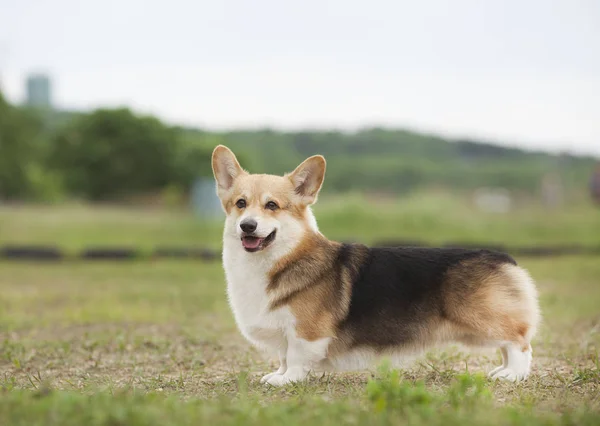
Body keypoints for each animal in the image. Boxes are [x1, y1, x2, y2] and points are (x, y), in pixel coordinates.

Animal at [213, 146, 540, 386]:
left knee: (519, 343)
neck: (281, 258)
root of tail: (504, 258)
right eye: (241, 204)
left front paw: (288, 380)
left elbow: (295, 357)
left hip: (484, 320)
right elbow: (283, 357)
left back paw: (513, 374)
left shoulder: (306, 332)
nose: (247, 226)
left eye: (272, 205)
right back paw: (502, 370)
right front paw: (277, 375)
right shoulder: (283, 332)